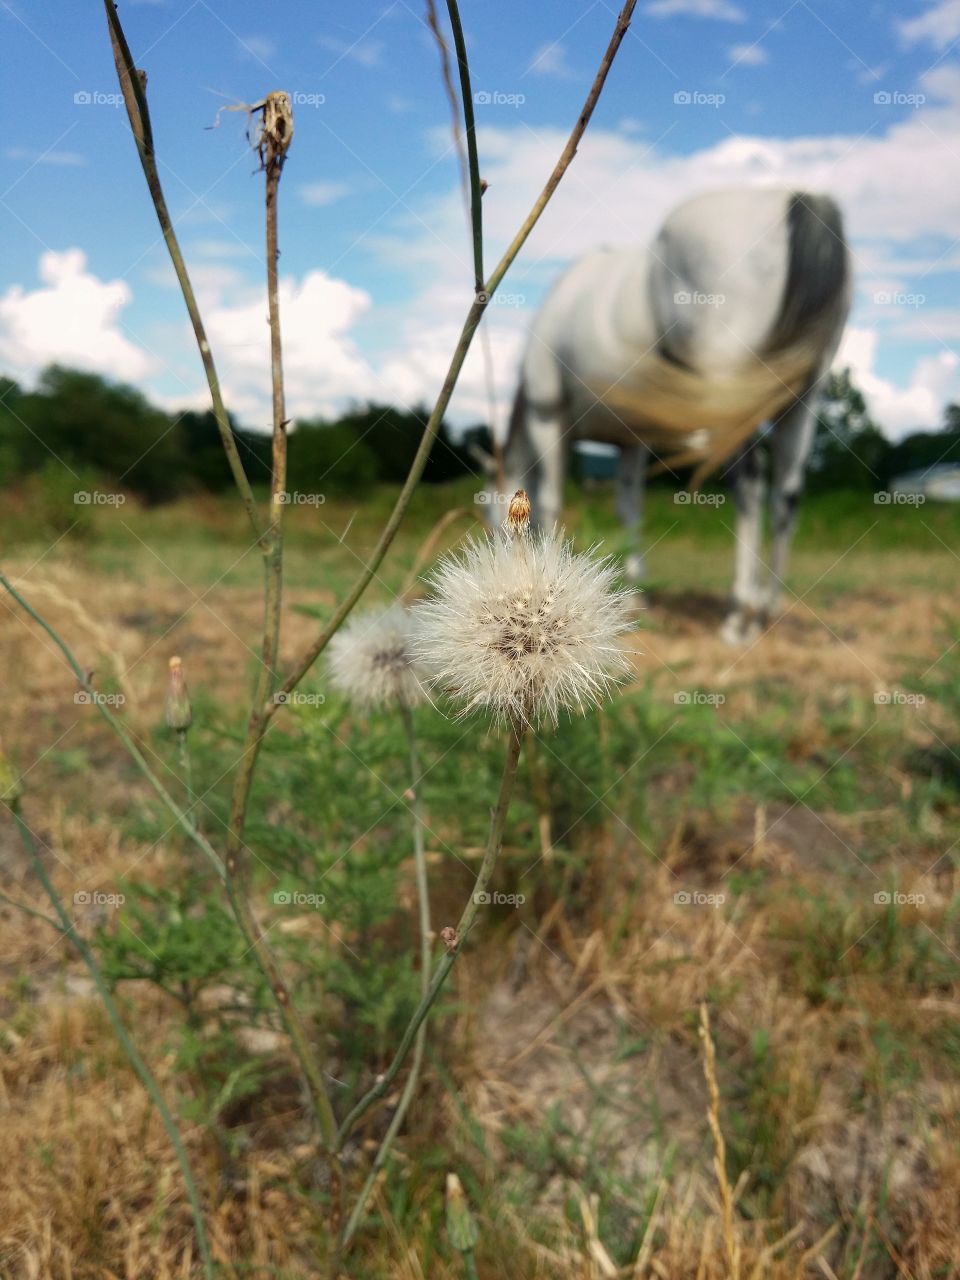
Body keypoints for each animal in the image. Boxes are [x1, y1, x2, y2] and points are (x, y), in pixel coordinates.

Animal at [491, 185, 855, 645]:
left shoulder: (547, 416)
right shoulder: (630, 443)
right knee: (786, 496)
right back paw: (764, 612)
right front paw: (634, 593)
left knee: (749, 488)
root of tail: (795, 199)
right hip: (800, 401)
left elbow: (551, 502)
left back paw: (739, 614)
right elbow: (629, 508)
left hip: (729, 398)